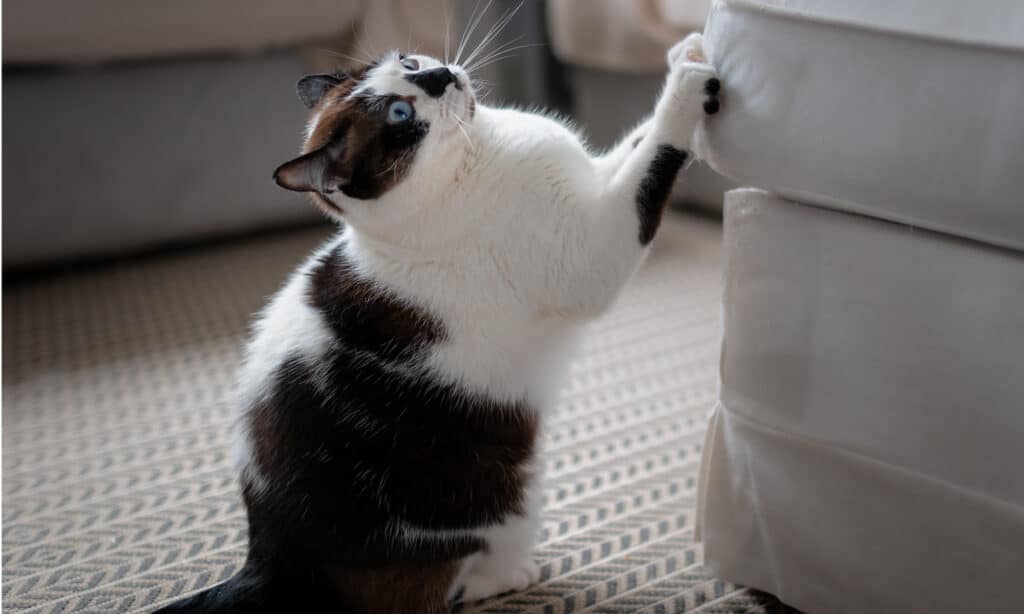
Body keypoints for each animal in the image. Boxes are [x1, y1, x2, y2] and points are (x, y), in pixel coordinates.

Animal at [157, 32, 720, 614]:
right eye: (400, 114)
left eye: (409, 64)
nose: (439, 76)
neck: (477, 152)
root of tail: (268, 556)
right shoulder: (591, 251)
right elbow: (653, 159)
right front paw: (686, 90)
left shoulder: (593, 180)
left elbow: (634, 145)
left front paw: (686, 55)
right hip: (505, 501)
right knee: (453, 584)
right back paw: (512, 575)